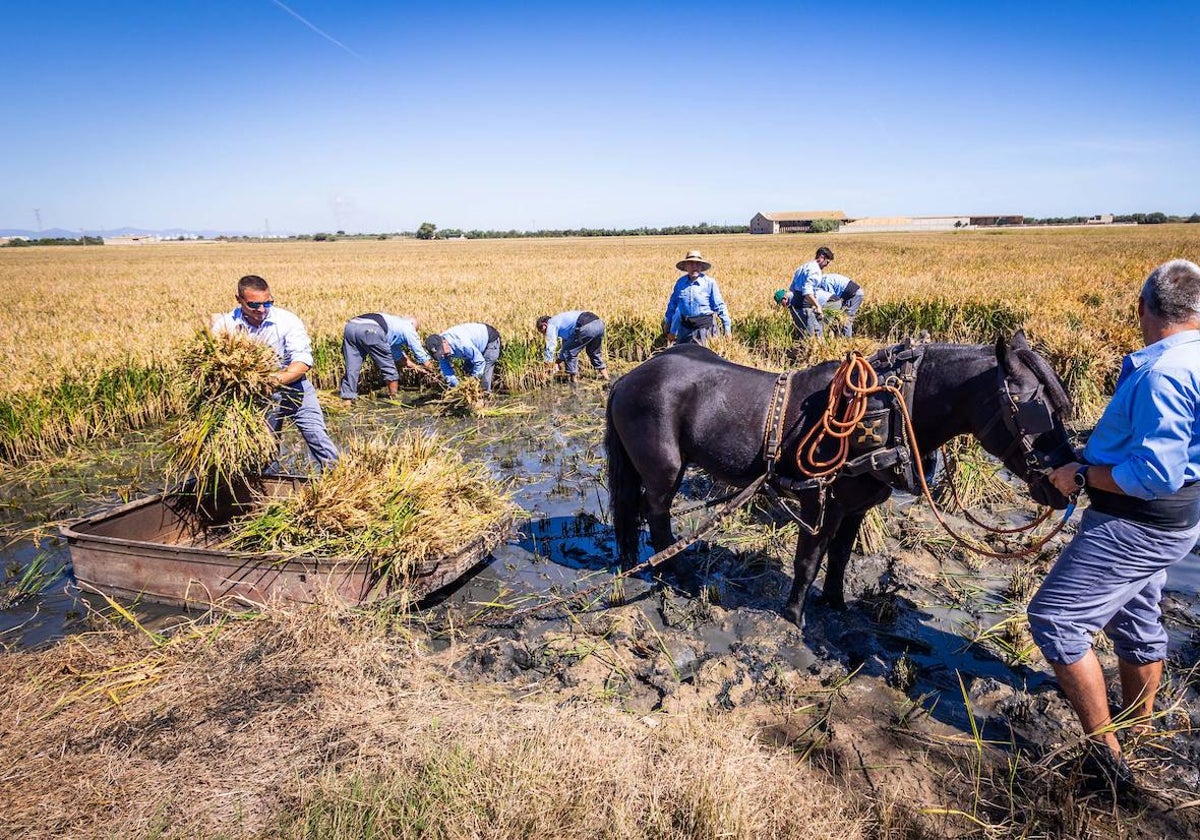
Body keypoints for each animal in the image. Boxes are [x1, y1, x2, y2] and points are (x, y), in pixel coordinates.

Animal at [604, 331, 1075, 628]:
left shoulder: (855, 506)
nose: (1067, 483)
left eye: (1062, 404)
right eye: (1033, 407)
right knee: (656, 512)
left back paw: (632, 562)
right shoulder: (820, 501)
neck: (890, 408)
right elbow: (808, 560)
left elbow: (841, 557)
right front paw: (794, 617)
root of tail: (628, 378)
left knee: (632, 511)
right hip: (665, 468)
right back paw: (674, 571)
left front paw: (835, 603)